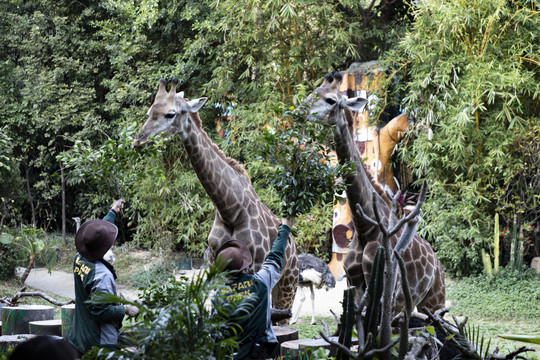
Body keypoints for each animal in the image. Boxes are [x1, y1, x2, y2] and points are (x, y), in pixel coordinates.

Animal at [131, 78, 300, 312]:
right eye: (149, 112)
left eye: (170, 114)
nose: (138, 141)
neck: (231, 209)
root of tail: (294, 248)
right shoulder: (213, 265)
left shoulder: (255, 268)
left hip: (288, 285)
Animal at [306, 72, 446, 312]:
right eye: (313, 92)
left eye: (331, 100)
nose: (301, 110)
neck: (364, 229)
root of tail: (436, 263)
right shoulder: (353, 284)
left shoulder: (385, 289)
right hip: (410, 302)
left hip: (435, 299)